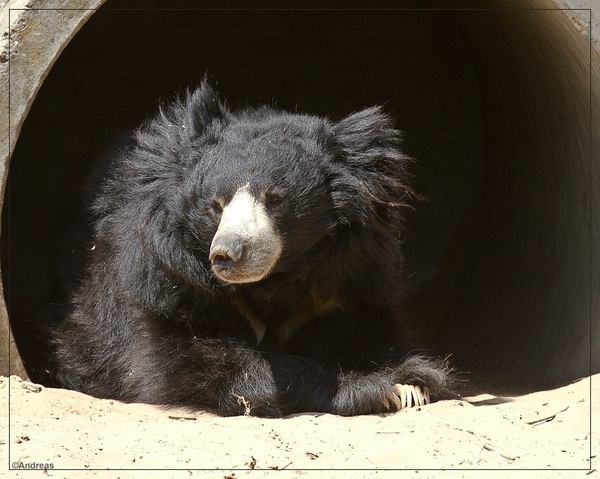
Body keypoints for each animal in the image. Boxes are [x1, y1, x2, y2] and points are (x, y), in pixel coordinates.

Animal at [52, 81, 454, 416]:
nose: (226, 255)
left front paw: (411, 380)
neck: (271, 283)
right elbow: (182, 361)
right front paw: (384, 388)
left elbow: (374, 332)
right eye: (215, 205)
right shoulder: (163, 280)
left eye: (275, 199)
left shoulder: (348, 281)